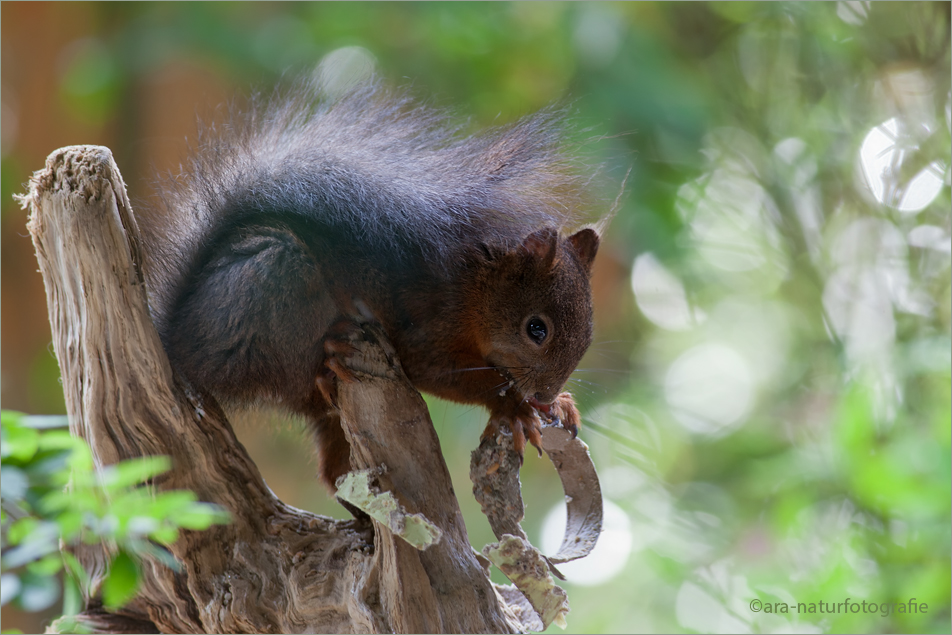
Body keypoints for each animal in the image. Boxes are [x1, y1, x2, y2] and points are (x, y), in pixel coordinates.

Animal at [139, 77, 604, 490]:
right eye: (536, 329)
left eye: (589, 333)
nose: (545, 392)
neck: (475, 292)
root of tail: (180, 342)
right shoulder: (427, 330)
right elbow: (441, 372)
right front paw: (515, 406)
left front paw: (559, 405)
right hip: (279, 285)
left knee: (332, 465)